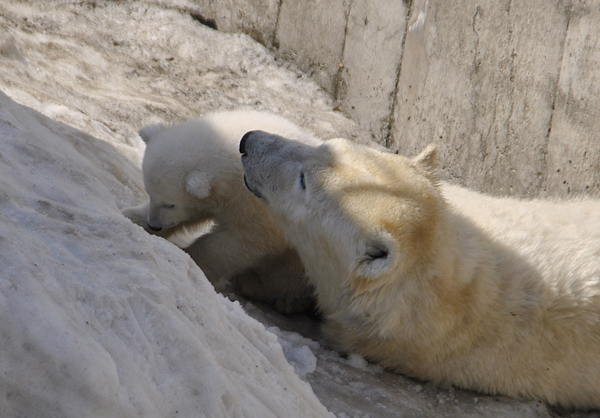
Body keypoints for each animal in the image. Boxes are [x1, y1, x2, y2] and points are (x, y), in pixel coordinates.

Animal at [120, 111, 318, 314]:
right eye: (150, 194)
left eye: (170, 204)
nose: (155, 225)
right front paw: (132, 216)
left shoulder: (258, 206)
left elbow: (244, 240)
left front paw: (194, 260)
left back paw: (282, 298)